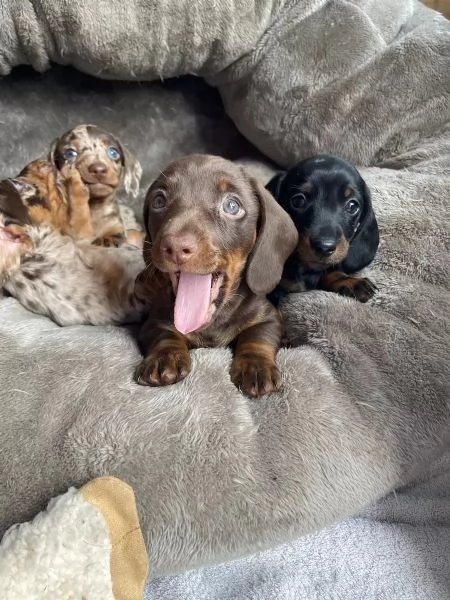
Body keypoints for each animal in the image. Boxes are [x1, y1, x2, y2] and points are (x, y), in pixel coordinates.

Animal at [135, 155, 298, 398]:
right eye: (159, 201)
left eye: (232, 206)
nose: (175, 247)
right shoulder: (156, 320)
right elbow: (163, 335)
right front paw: (164, 357)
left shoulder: (268, 316)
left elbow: (258, 336)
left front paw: (256, 365)